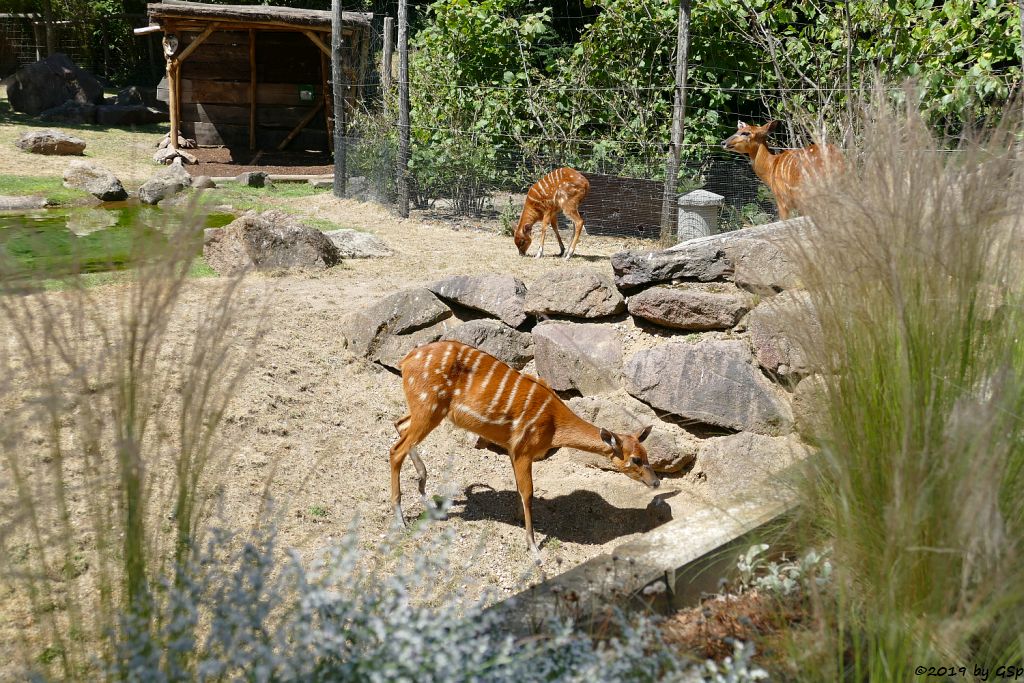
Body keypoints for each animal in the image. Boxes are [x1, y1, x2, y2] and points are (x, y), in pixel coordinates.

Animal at [387, 339, 659, 557]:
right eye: (636, 459)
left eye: (647, 455)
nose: (656, 482)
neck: (554, 424)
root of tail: (406, 360)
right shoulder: (524, 450)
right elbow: (528, 493)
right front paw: (534, 547)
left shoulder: (512, 449)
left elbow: (520, 489)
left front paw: (518, 519)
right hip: (429, 408)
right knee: (396, 450)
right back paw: (401, 520)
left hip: (426, 411)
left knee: (400, 424)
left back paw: (425, 491)